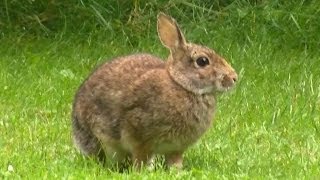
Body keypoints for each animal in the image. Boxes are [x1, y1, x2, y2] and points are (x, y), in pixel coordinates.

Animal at [72, 12, 238, 169]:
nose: (234, 77)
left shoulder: (176, 148)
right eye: (202, 61)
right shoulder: (139, 138)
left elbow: (175, 161)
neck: (182, 85)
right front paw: (141, 171)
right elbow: (140, 157)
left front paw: (177, 171)